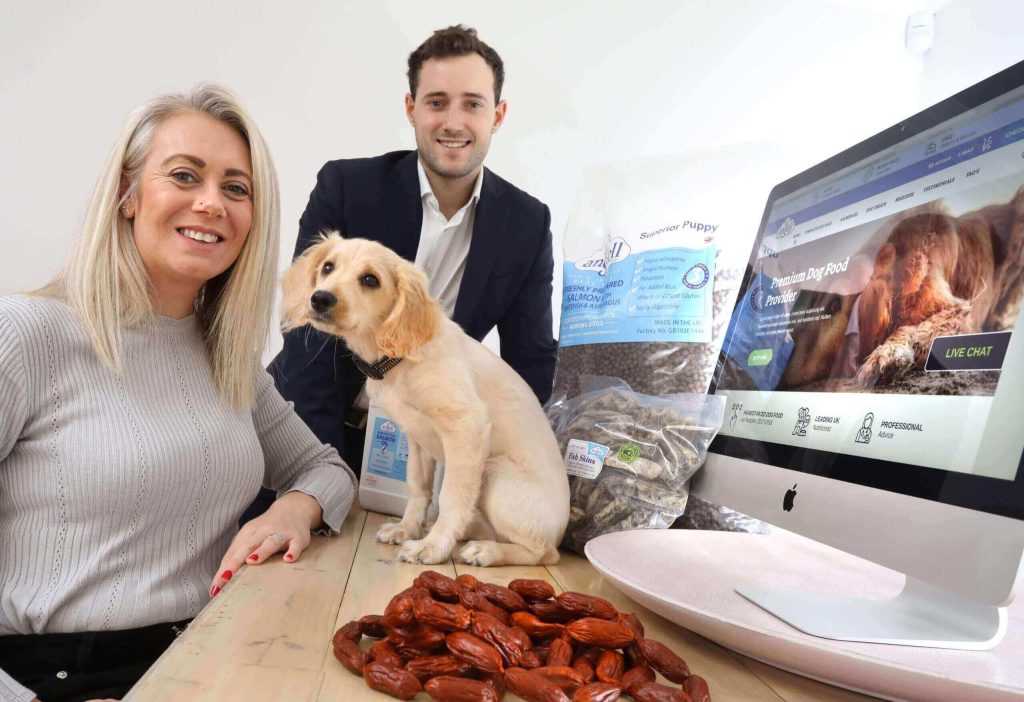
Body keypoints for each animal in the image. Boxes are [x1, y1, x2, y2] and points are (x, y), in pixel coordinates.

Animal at [280, 233, 569, 568]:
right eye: (328, 267)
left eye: (370, 280)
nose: (320, 298)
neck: (399, 359)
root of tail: (562, 530)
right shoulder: (416, 438)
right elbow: (417, 488)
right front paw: (407, 529)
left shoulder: (467, 426)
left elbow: (451, 497)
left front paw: (433, 547)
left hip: (494, 473)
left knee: (543, 552)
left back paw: (486, 550)